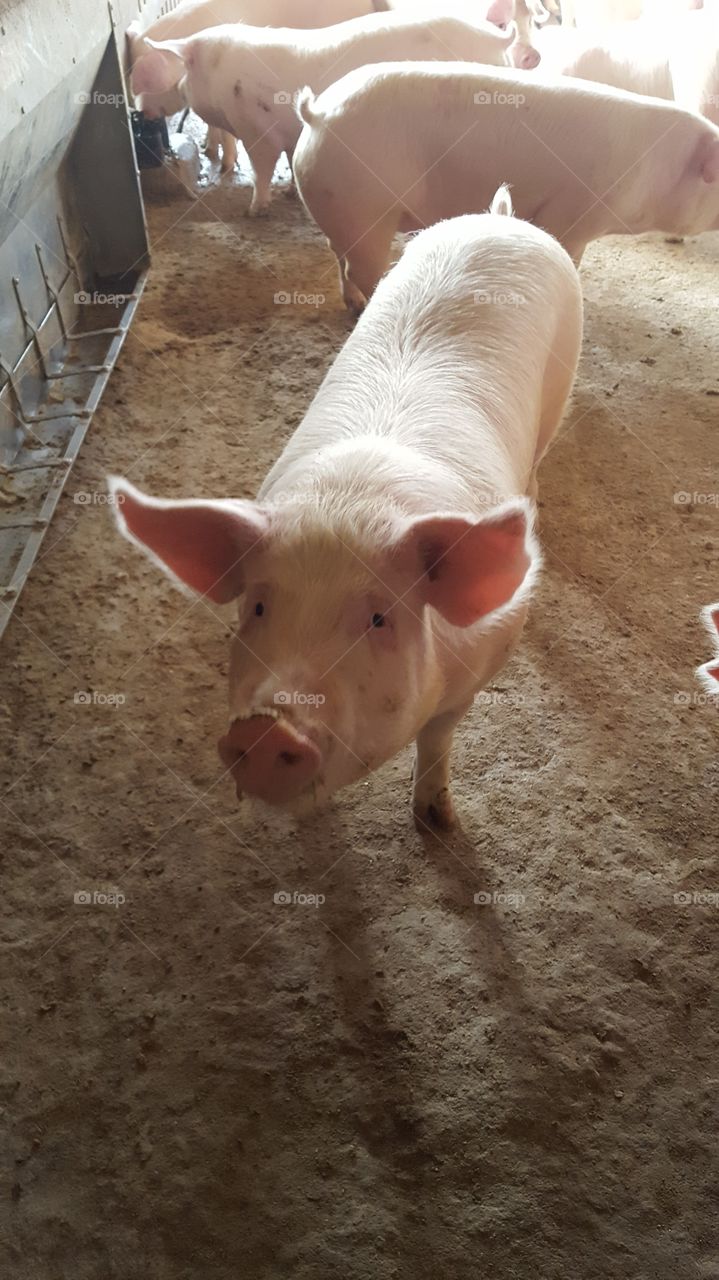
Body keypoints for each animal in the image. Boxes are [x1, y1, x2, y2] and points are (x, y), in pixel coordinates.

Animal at [110, 191, 582, 827]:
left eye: (379, 619)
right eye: (258, 607)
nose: (265, 729)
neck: (350, 501)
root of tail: (498, 218)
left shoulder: (480, 666)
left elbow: (437, 737)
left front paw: (439, 822)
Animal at [133, 13, 517, 216]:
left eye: (180, 72)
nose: (141, 112)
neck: (220, 78)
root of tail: (497, 40)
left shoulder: (256, 130)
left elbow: (262, 167)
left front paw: (254, 209)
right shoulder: (291, 132)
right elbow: (290, 160)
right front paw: (291, 194)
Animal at [292, 61, 719, 310]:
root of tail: (318, 114)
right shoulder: (575, 213)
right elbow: (567, 250)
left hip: (338, 204)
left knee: (338, 255)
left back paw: (351, 303)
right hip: (365, 207)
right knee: (361, 267)